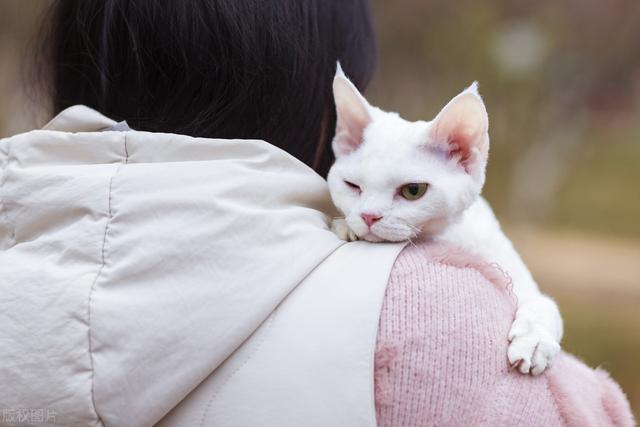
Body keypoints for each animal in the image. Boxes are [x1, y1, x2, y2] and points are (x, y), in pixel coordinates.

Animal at [328, 63, 564, 374]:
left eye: (413, 190)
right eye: (352, 186)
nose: (369, 216)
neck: (448, 235)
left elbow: (545, 304)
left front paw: (534, 340)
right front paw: (345, 226)